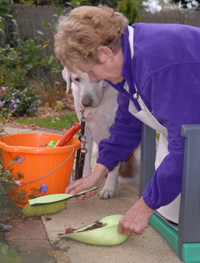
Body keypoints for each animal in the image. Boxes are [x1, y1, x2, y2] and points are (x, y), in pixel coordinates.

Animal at [63, 67, 141, 199]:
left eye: (96, 77)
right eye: (76, 79)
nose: (86, 103)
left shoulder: (114, 130)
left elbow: (113, 163)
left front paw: (108, 189)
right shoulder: (86, 130)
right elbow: (86, 160)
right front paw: (86, 180)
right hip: (96, 149)